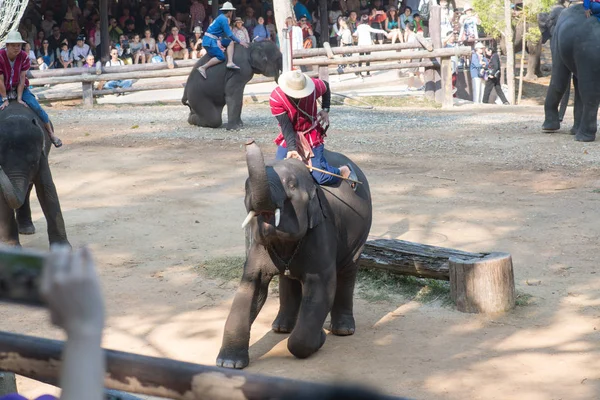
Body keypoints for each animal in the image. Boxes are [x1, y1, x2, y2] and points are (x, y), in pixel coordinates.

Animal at [0, 102, 69, 247]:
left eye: (33, 163)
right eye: (0, 162)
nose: (0, 169)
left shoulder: (42, 156)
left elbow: (46, 188)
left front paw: (62, 249)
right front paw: (12, 248)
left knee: (28, 188)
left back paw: (27, 230)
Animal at [216, 141, 372, 368]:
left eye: (291, 185)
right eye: (246, 187)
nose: (248, 142)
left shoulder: (322, 230)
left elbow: (321, 287)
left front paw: (320, 337)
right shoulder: (258, 245)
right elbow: (251, 286)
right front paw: (228, 363)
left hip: (360, 234)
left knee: (348, 271)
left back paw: (343, 330)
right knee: (287, 278)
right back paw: (281, 328)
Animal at [540, 4, 600, 142]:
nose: (561, 119)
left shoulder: (556, 40)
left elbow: (559, 79)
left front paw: (547, 128)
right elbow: (575, 83)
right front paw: (572, 131)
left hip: (588, 52)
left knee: (589, 91)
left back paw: (582, 137)